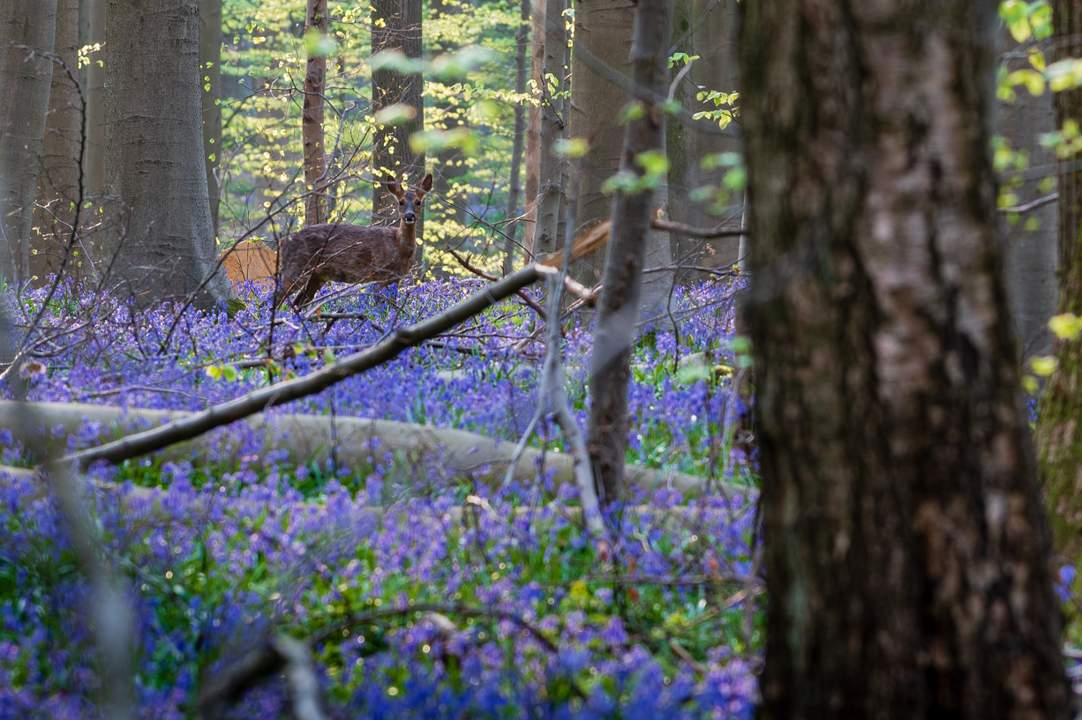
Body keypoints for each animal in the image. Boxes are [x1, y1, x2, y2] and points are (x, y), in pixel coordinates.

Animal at [272, 174, 432, 309]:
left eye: (418, 202)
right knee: (276, 297)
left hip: (317, 275)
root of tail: (283, 242)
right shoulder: (382, 273)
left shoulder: (396, 277)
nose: (409, 216)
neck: (399, 246)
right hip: (296, 266)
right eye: (401, 202)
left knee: (297, 303)